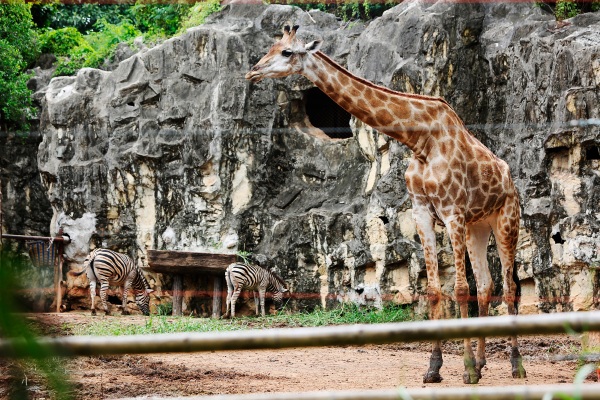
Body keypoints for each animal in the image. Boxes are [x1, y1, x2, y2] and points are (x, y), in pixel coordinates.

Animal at [244, 23, 524, 382]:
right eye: (270, 47)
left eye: (286, 52)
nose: (253, 72)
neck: (421, 140)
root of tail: (509, 178)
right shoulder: (423, 212)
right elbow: (435, 291)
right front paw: (434, 368)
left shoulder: (452, 212)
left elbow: (460, 289)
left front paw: (466, 371)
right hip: (479, 225)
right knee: (487, 285)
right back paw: (484, 360)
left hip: (506, 220)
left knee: (510, 286)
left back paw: (515, 365)